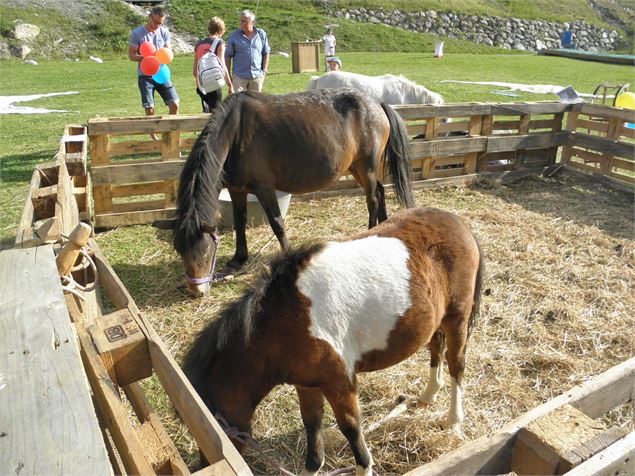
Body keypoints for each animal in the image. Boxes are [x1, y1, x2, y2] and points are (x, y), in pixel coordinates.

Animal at [152, 86, 414, 294]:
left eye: (206, 250)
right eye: (179, 250)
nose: (195, 290)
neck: (235, 132)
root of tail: (377, 104)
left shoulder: (264, 188)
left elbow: (277, 223)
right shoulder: (237, 189)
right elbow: (240, 222)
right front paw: (239, 259)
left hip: (365, 166)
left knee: (372, 198)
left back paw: (370, 230)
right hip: (357, 168)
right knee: (380, 192)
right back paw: (384, 225)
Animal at [181, 208, 484, 476]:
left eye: (211, 432)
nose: (203, 465)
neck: (285, 322)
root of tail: (459, 223)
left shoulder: (340, 382)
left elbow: (350, 428)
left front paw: (364, 468)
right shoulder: (307, 383)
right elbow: (312, 427)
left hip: (457, 317)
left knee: (457, 364)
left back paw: (454, 422)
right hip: (436, 319)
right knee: (436, 346)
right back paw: (428, 395)